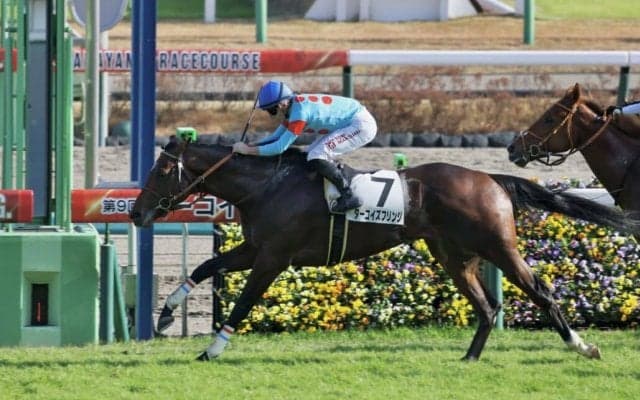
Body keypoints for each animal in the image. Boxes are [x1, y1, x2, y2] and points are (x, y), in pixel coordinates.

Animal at [129, 135, 640, 361]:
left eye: (162, 170)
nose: (136, 213)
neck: (268, 186)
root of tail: (490, 178)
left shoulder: (273, 258)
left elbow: (243, 302)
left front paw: (212, 349)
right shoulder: (255, 249)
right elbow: (204, 267)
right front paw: (165, 315)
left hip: (499, 247)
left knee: (540, 291)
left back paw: (582, 345)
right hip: (453, 255)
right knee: (487, 306)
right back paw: (469, 358)